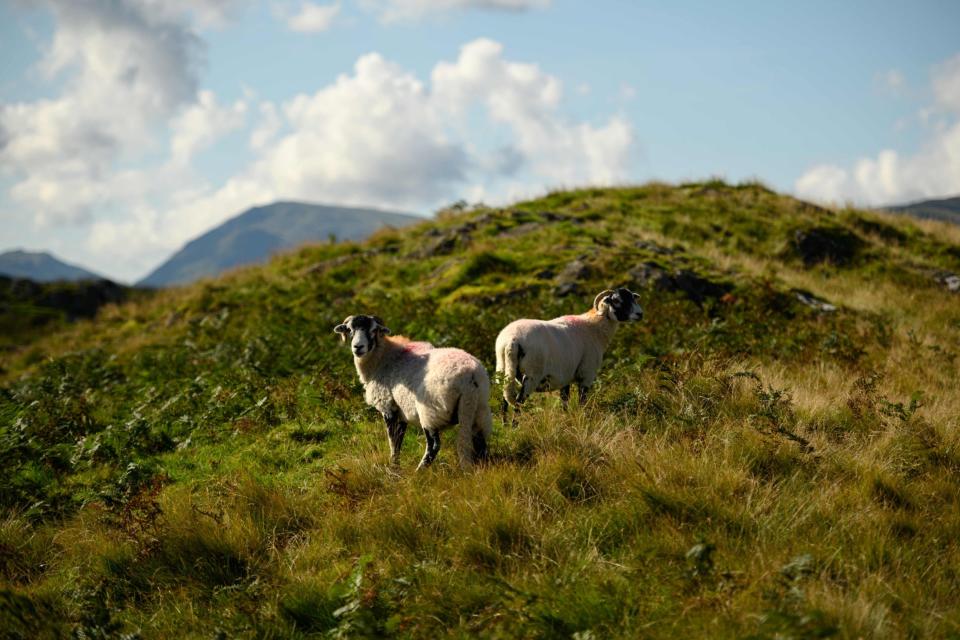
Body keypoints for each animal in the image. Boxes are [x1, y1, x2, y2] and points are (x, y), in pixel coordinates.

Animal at [334, 316, 492, 470]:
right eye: (349, 330)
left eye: (374, 330)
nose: (358, 347)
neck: (384, 357)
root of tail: (470, 375)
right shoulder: (401, 413)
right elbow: (398, 441)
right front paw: (395, 467)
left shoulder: (388, 407)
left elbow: (393, 442)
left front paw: (393, 470)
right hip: (478, 409)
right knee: (480, 442)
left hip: (430, 411)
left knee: (434, 445)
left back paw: (419, 471)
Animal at [496, 288, 644, 422]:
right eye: (617, 300)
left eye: (633, 298)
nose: (640, 314)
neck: (594, 327)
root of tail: (512, 340)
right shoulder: (586, 375)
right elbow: (582, 402)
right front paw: (583, 420)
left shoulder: (565, 377)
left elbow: (564, 402)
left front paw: (566, 420)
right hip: (532, 375)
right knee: (518, 402)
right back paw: (514, 427)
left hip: (503, 369)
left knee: (504, 401)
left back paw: (505, 427)